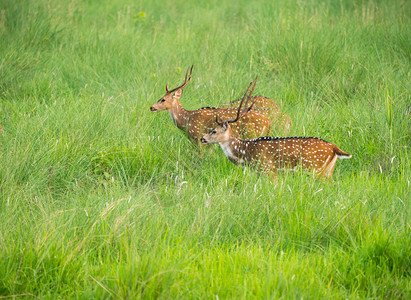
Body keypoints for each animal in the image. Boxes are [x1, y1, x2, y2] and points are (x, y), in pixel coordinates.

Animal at [201, 78, 352, 179]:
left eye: (213, 131)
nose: (203, 138)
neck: (247, 155)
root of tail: (334, 147)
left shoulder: (268, 170)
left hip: (315, 169)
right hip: (328, 171)